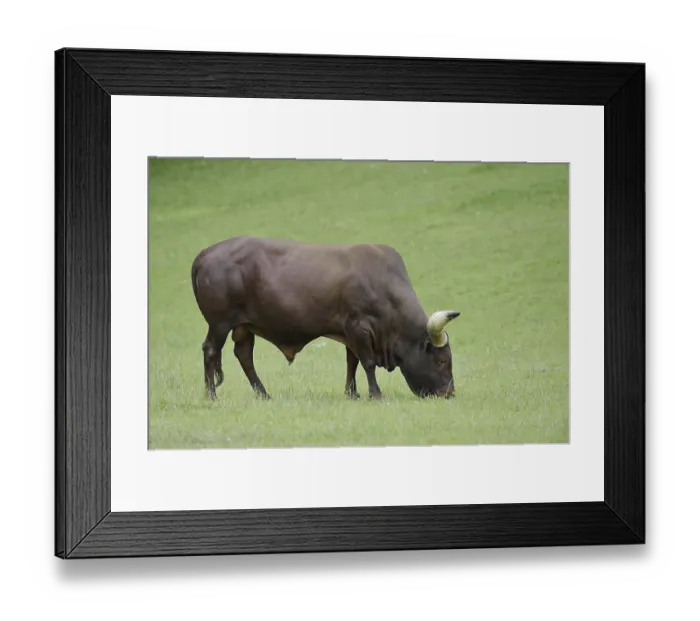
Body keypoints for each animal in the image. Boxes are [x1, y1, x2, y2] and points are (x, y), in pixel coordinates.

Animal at [191, 236, 460, 401]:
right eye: (442, 361)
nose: (449, 393)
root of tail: (205, 253)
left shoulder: (351, 332)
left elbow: (352, 362)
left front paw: (352, 394)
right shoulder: (359, 326)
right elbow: (367, 362)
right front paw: (375, 394)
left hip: (244, 326)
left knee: (244, 356)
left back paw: (263, 394)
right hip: (219, 324)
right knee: (211, 350)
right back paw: (211, 395)